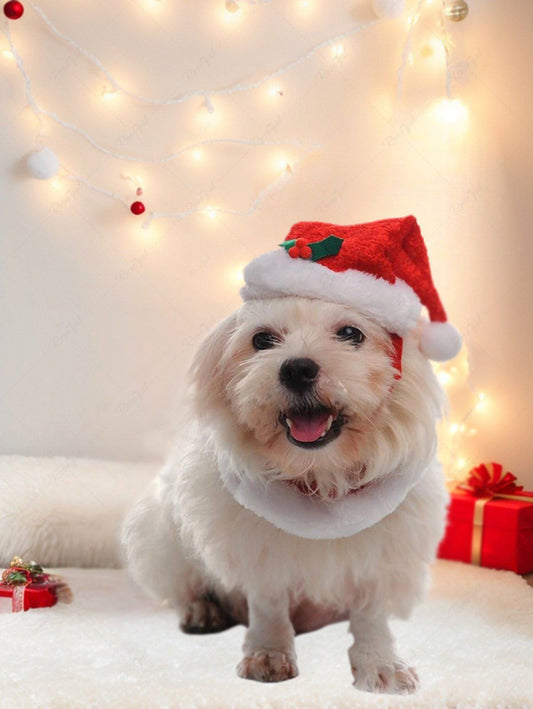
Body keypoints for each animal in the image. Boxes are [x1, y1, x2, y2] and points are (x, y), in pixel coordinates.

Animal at [120, 216, 458, 692]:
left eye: (351, 333)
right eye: (262, 340)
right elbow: (268, 605)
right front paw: (269, 652)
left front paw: (379, 662)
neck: (320, 475)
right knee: (187, 583)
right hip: (161, 534)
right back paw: (203, 608)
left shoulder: (384, 550)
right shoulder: (259, 549)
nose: (297, 368)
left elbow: (372, 615)